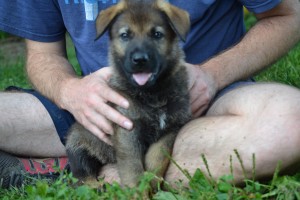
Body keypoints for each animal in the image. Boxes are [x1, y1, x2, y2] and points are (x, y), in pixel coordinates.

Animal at [67, 0, 191, 189]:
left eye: (157, 34)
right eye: (125, 35)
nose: (140, 60)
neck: (152, 93)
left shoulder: (170, 130)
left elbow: (156, 160)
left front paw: (153, 184)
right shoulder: (127, 131)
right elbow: (133, 170)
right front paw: (138, 191)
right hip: (77, 142)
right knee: (81, 176)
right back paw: (97, 187)